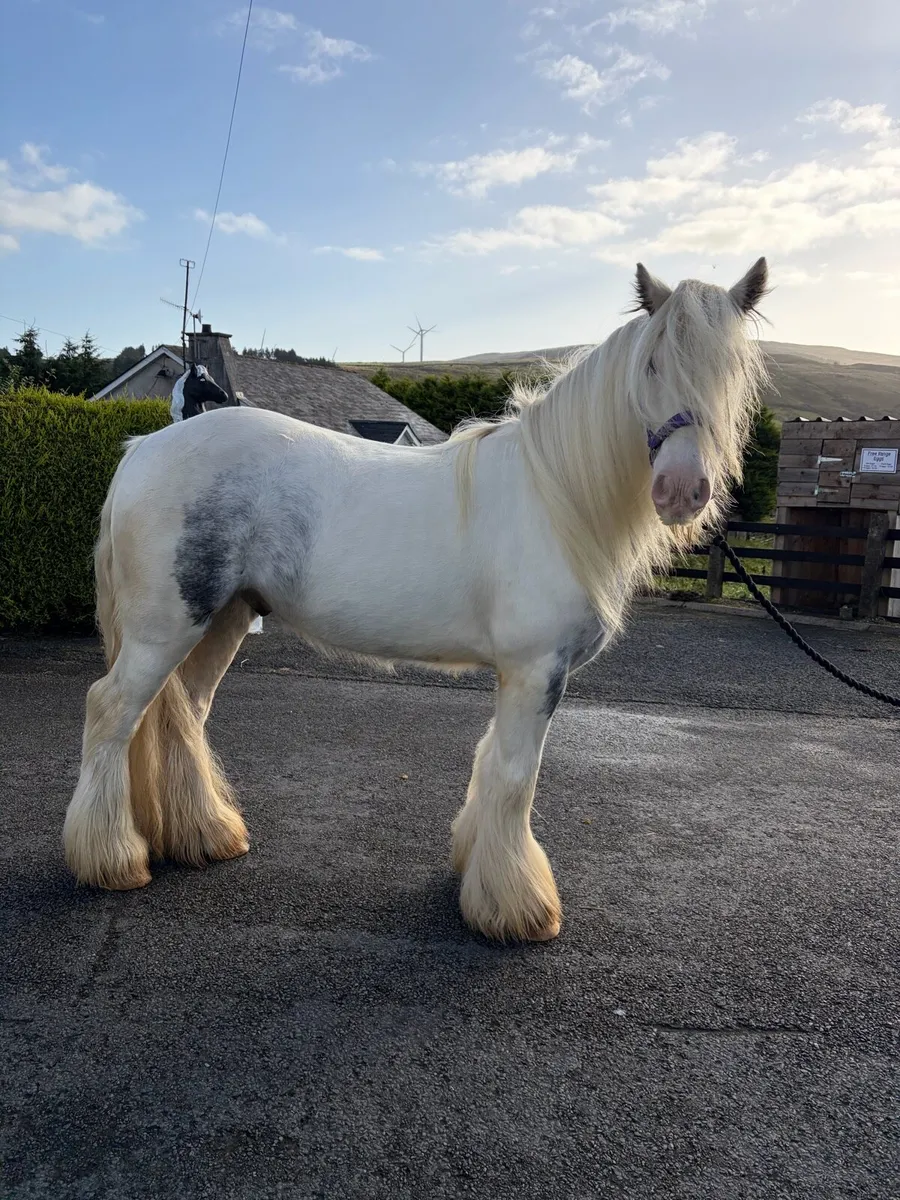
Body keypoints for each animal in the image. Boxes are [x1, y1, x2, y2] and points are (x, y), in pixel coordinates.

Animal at [63, 259, 769, 942]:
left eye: (731, 372)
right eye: (651, 364)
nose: (683, 490)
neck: (555, 496)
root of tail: (142, 451)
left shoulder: (519, 674)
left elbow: (491, 762)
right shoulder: (537, 668)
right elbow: (516, 776)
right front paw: (518, 910)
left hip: (224, 619)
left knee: (184, 712)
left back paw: (205, 836)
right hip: (166, 627)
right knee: (110, 709)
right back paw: (112, 860)